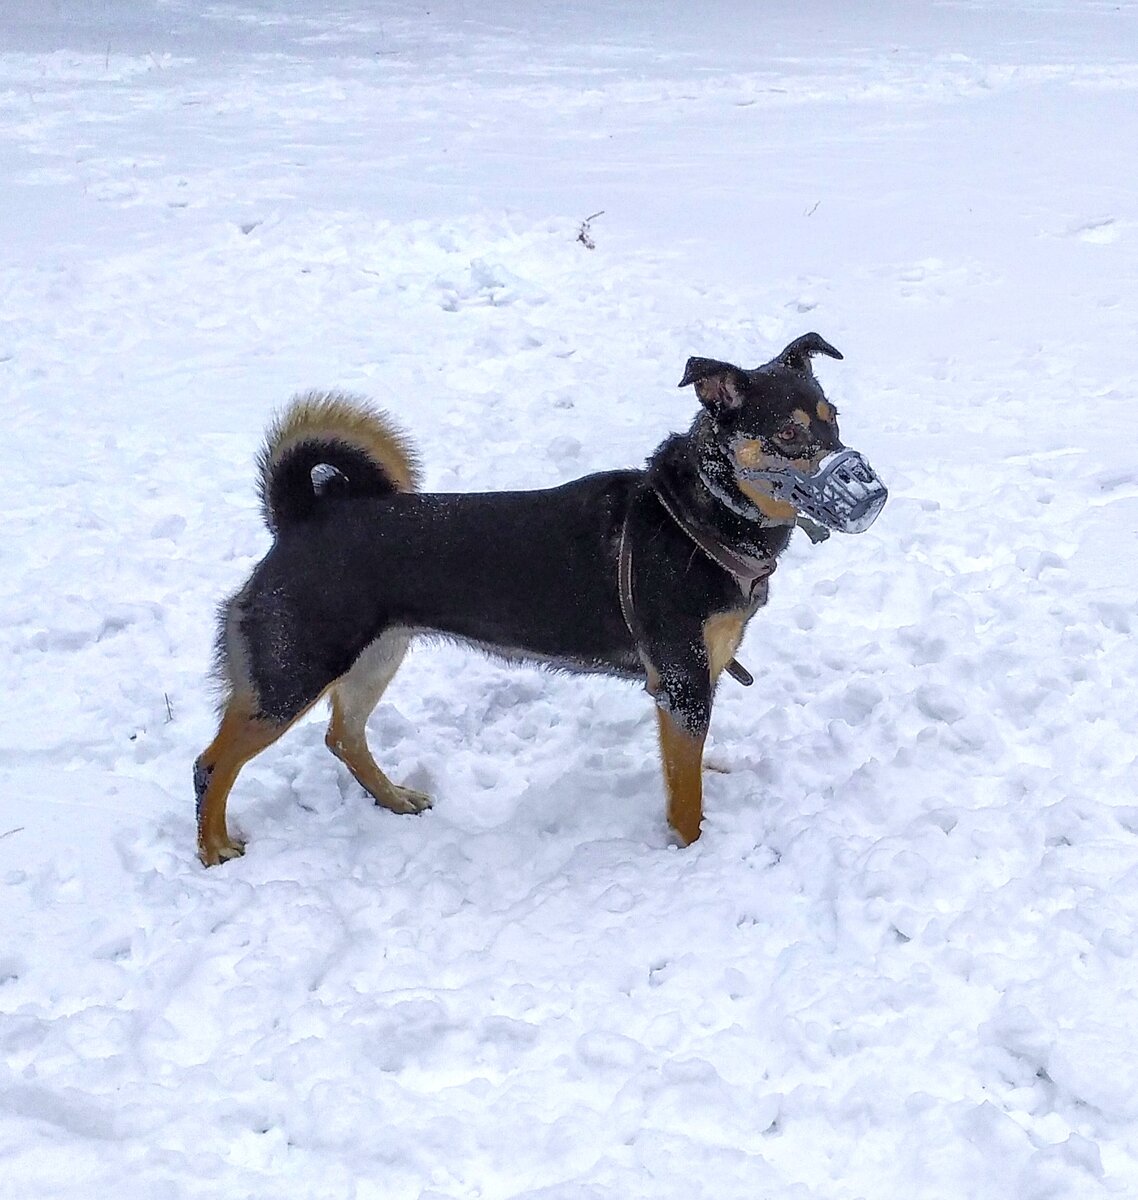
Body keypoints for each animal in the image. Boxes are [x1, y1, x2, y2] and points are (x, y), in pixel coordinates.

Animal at [193, 333, 888, 868]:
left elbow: (681, 767)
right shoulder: (685, 682)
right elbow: (685, 798)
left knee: (342, 737)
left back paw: (393, 799)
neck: (698, 517)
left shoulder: (691, 684)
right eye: (789, 434)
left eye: (833, 417)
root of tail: (303, 517)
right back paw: (213, 848)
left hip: (377, 655)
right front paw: (694, 853)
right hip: (293, 669)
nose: (873, 491)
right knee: (212, 763)